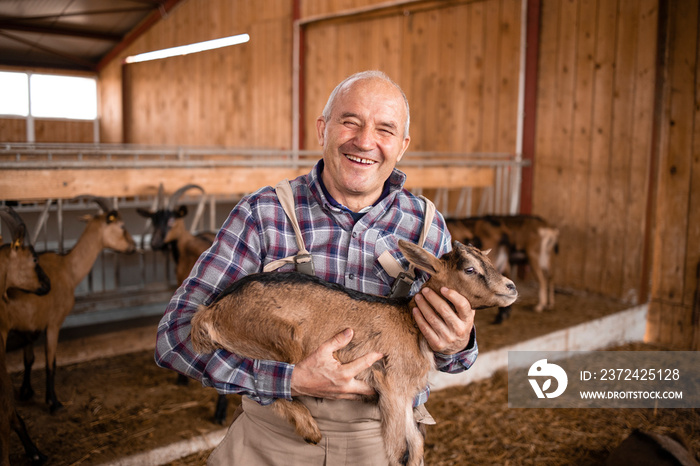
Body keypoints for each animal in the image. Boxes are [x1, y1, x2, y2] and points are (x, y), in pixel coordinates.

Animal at [2, 198, 135, 414]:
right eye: (122, 226)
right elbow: (51, 363)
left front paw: (26, 391)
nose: (133, 246)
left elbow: (29, 360)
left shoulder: (28, 327)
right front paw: (53, 402)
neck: (68, 269)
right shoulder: (53, 323)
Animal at [189, 240, 516, 466]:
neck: (410, 322)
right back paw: (310, 429)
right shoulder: (392, 385)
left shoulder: (405, 395)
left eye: (487, 261)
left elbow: (416, 446)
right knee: (272, 382)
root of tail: (211, 311)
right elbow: (400, 451)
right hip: (279, 337)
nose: (511, 287)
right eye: (469, 269)